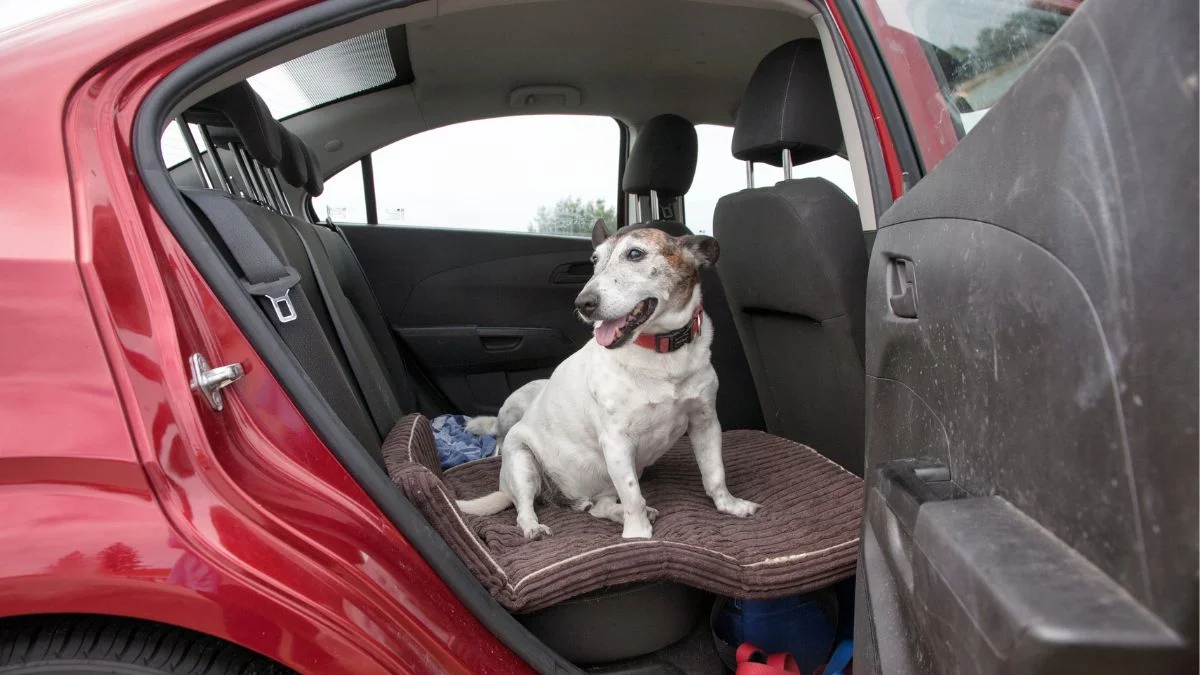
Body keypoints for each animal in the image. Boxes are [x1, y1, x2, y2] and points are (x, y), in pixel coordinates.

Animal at [458, 219, 758, 535]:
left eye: (635, 254)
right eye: (594, 260)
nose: (583, 303)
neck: (662, 352)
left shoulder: (705, 422)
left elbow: (714, 473)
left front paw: (729, 505)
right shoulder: (616, 442)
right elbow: (633, 496)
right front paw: (638, 535)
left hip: (602, 482)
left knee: (598, 508)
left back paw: (613, 512)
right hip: (521, 459)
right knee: (523, 506)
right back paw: (533, 526)